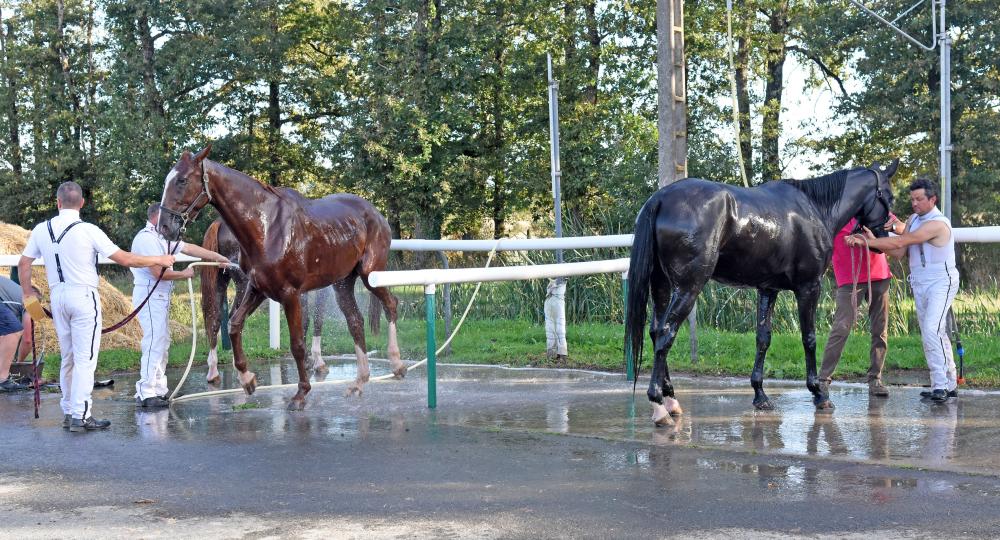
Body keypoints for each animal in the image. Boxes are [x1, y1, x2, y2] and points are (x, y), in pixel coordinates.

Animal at [160, 146, 402, 408]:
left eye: (182, 180)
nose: (164, 227)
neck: (266, 228)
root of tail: (376, 213)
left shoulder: (290, 294)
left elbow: (297, 343)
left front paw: (301, 392)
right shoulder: (257, 289)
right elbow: (235, 325)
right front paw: (247, 379)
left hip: (370, 275)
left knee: (391, 304)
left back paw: (397, 364)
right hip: (342, 283)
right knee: (355, 321)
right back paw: (360, 381)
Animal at [624, 160, 900, 426]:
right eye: (889, 196)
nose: (882, 239)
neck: (815, 209)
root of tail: (660, 198)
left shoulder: (768, 289)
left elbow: (763, 338)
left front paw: (760, 395)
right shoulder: (809, 287)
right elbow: (809, 338)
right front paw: (818, 393)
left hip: (661, 285)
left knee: (655, 331)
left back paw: (671, 399)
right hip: (687, 288)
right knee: (666, 334)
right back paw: (659, 406)